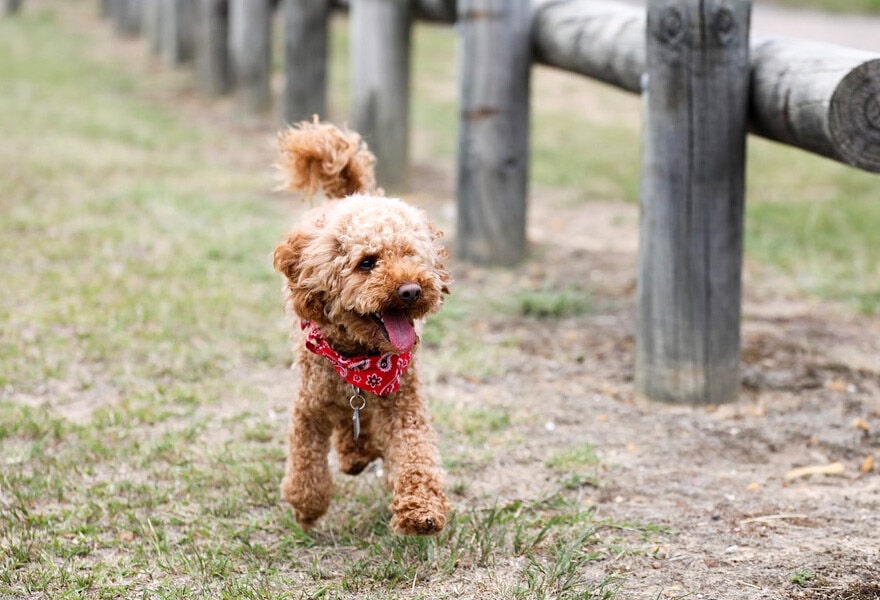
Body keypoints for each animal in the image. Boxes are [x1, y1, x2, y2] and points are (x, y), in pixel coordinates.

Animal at [274, 118, 454, 536]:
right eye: (367, 262)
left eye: (412, 255)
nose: (411, 290)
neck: (362, 359)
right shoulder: (309, 406)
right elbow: (305, 464)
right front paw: (307, 508)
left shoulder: (404, 401)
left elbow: (416, 452)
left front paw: (421, 510)